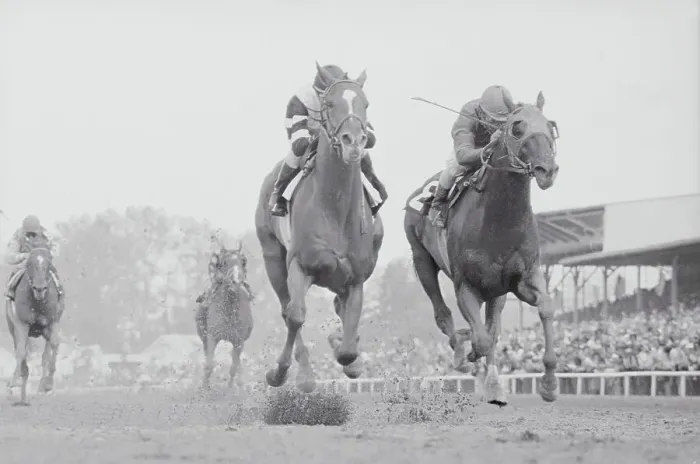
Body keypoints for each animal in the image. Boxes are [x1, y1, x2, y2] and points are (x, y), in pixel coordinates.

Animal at [5, 236, 64, 406]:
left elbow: (54, 346)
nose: (40, 288)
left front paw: (48, 384)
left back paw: (42, 385)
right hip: (13, 328)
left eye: (49, 262)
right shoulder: (21, 325)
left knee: (47, 353)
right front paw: (13, 385)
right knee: (22, 351)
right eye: (29, 263)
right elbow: (20, 351)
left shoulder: (52, 323)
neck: (38, 301)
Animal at [195, 242, 254, 390]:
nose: (235, 281)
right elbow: (209, 366)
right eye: (224, 262)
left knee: (237, 363)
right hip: (204, 337)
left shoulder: (239, 342)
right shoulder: (212, 337)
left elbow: (233, 368)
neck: (230, 312)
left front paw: (230, 389)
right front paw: (204, 388)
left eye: (243, 261)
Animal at [255, 62, 384, 393]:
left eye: (366, 104)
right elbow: (295, 316)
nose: (354, 141)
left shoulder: (356, 277)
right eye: (330, 104)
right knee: (287, 308)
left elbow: (348, 344)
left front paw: (349, 355)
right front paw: (285, 373)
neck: (334, 207)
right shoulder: (300, 265)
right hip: (273, 260)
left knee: (339, 306)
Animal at [403, 92, 560, 406]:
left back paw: (492, 382)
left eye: (550, 127)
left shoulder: (522, 279)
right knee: (443, 314)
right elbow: (482, 339)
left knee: (493, 327)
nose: (547, 170)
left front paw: (549, 383)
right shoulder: (465, 285)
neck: (499, 222)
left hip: (496, 291)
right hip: (422, 258)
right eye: (517, 127)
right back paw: (461, 351)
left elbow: (545, 308)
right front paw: (469, 351)